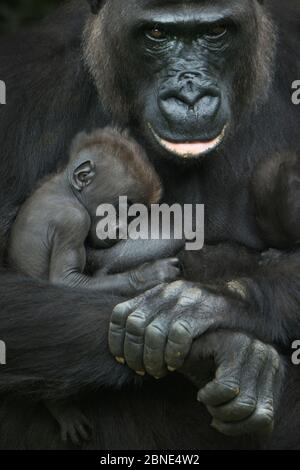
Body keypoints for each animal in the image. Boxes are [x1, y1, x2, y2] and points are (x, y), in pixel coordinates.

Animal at [8, 127, 180, 444]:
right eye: (123, 208)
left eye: (133, 215)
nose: (121, 229)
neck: (65, 189)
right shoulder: (73, 220)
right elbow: (66, 280)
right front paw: (148, 275)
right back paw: (60, 406)